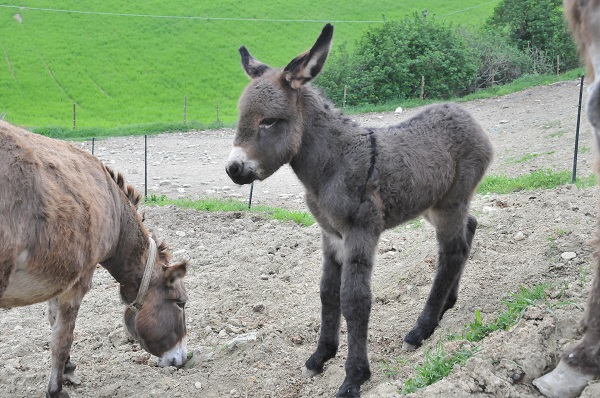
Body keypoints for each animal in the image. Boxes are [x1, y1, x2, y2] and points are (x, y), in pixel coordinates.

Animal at [225, 24, 492, 398]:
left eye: (269, 121)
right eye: (241, 118)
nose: (233, 169)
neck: (330, 166)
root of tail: (468, 118)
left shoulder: (360, 231)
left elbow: (354, 299)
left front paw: (354, 377)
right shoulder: (331, 235)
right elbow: (327, 292)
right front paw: (320, 357)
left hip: (450, 203)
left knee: (452, 252)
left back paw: (421, 330)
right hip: (436, 204)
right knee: (469, 229)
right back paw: (446, 307)